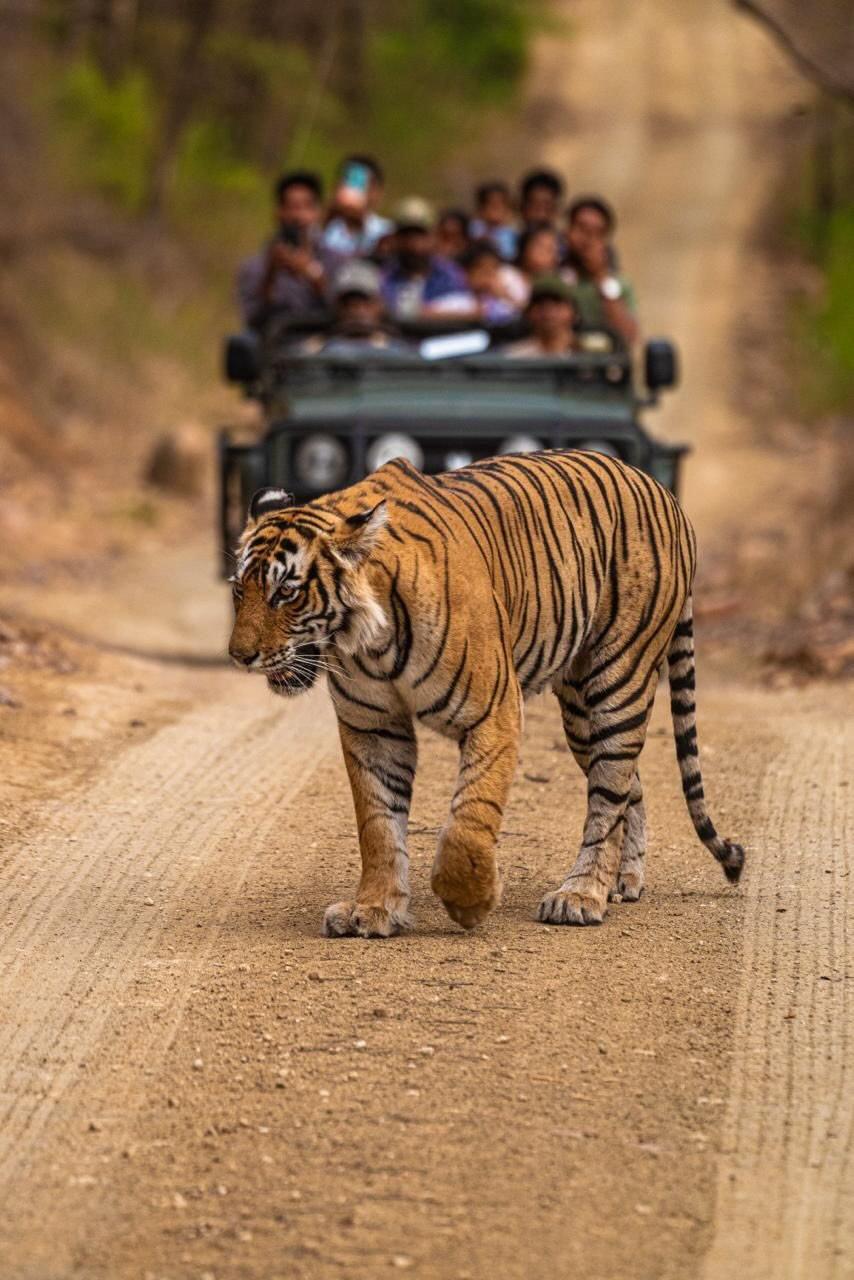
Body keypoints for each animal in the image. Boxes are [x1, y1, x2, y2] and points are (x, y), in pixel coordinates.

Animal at [228, 450, 745, 937]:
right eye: (239, 591)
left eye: (286, 592)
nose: (239, 656)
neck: (368, 642)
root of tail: (666, 494)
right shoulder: (372, 726)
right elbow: (377, 824)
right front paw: (373, 909)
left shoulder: (494, 711)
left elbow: (470, 818)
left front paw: (469, 901)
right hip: (580, 713)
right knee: (626, 787)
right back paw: (621, 882)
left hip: (618, 682)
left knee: (609, 792)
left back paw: (580, 896)